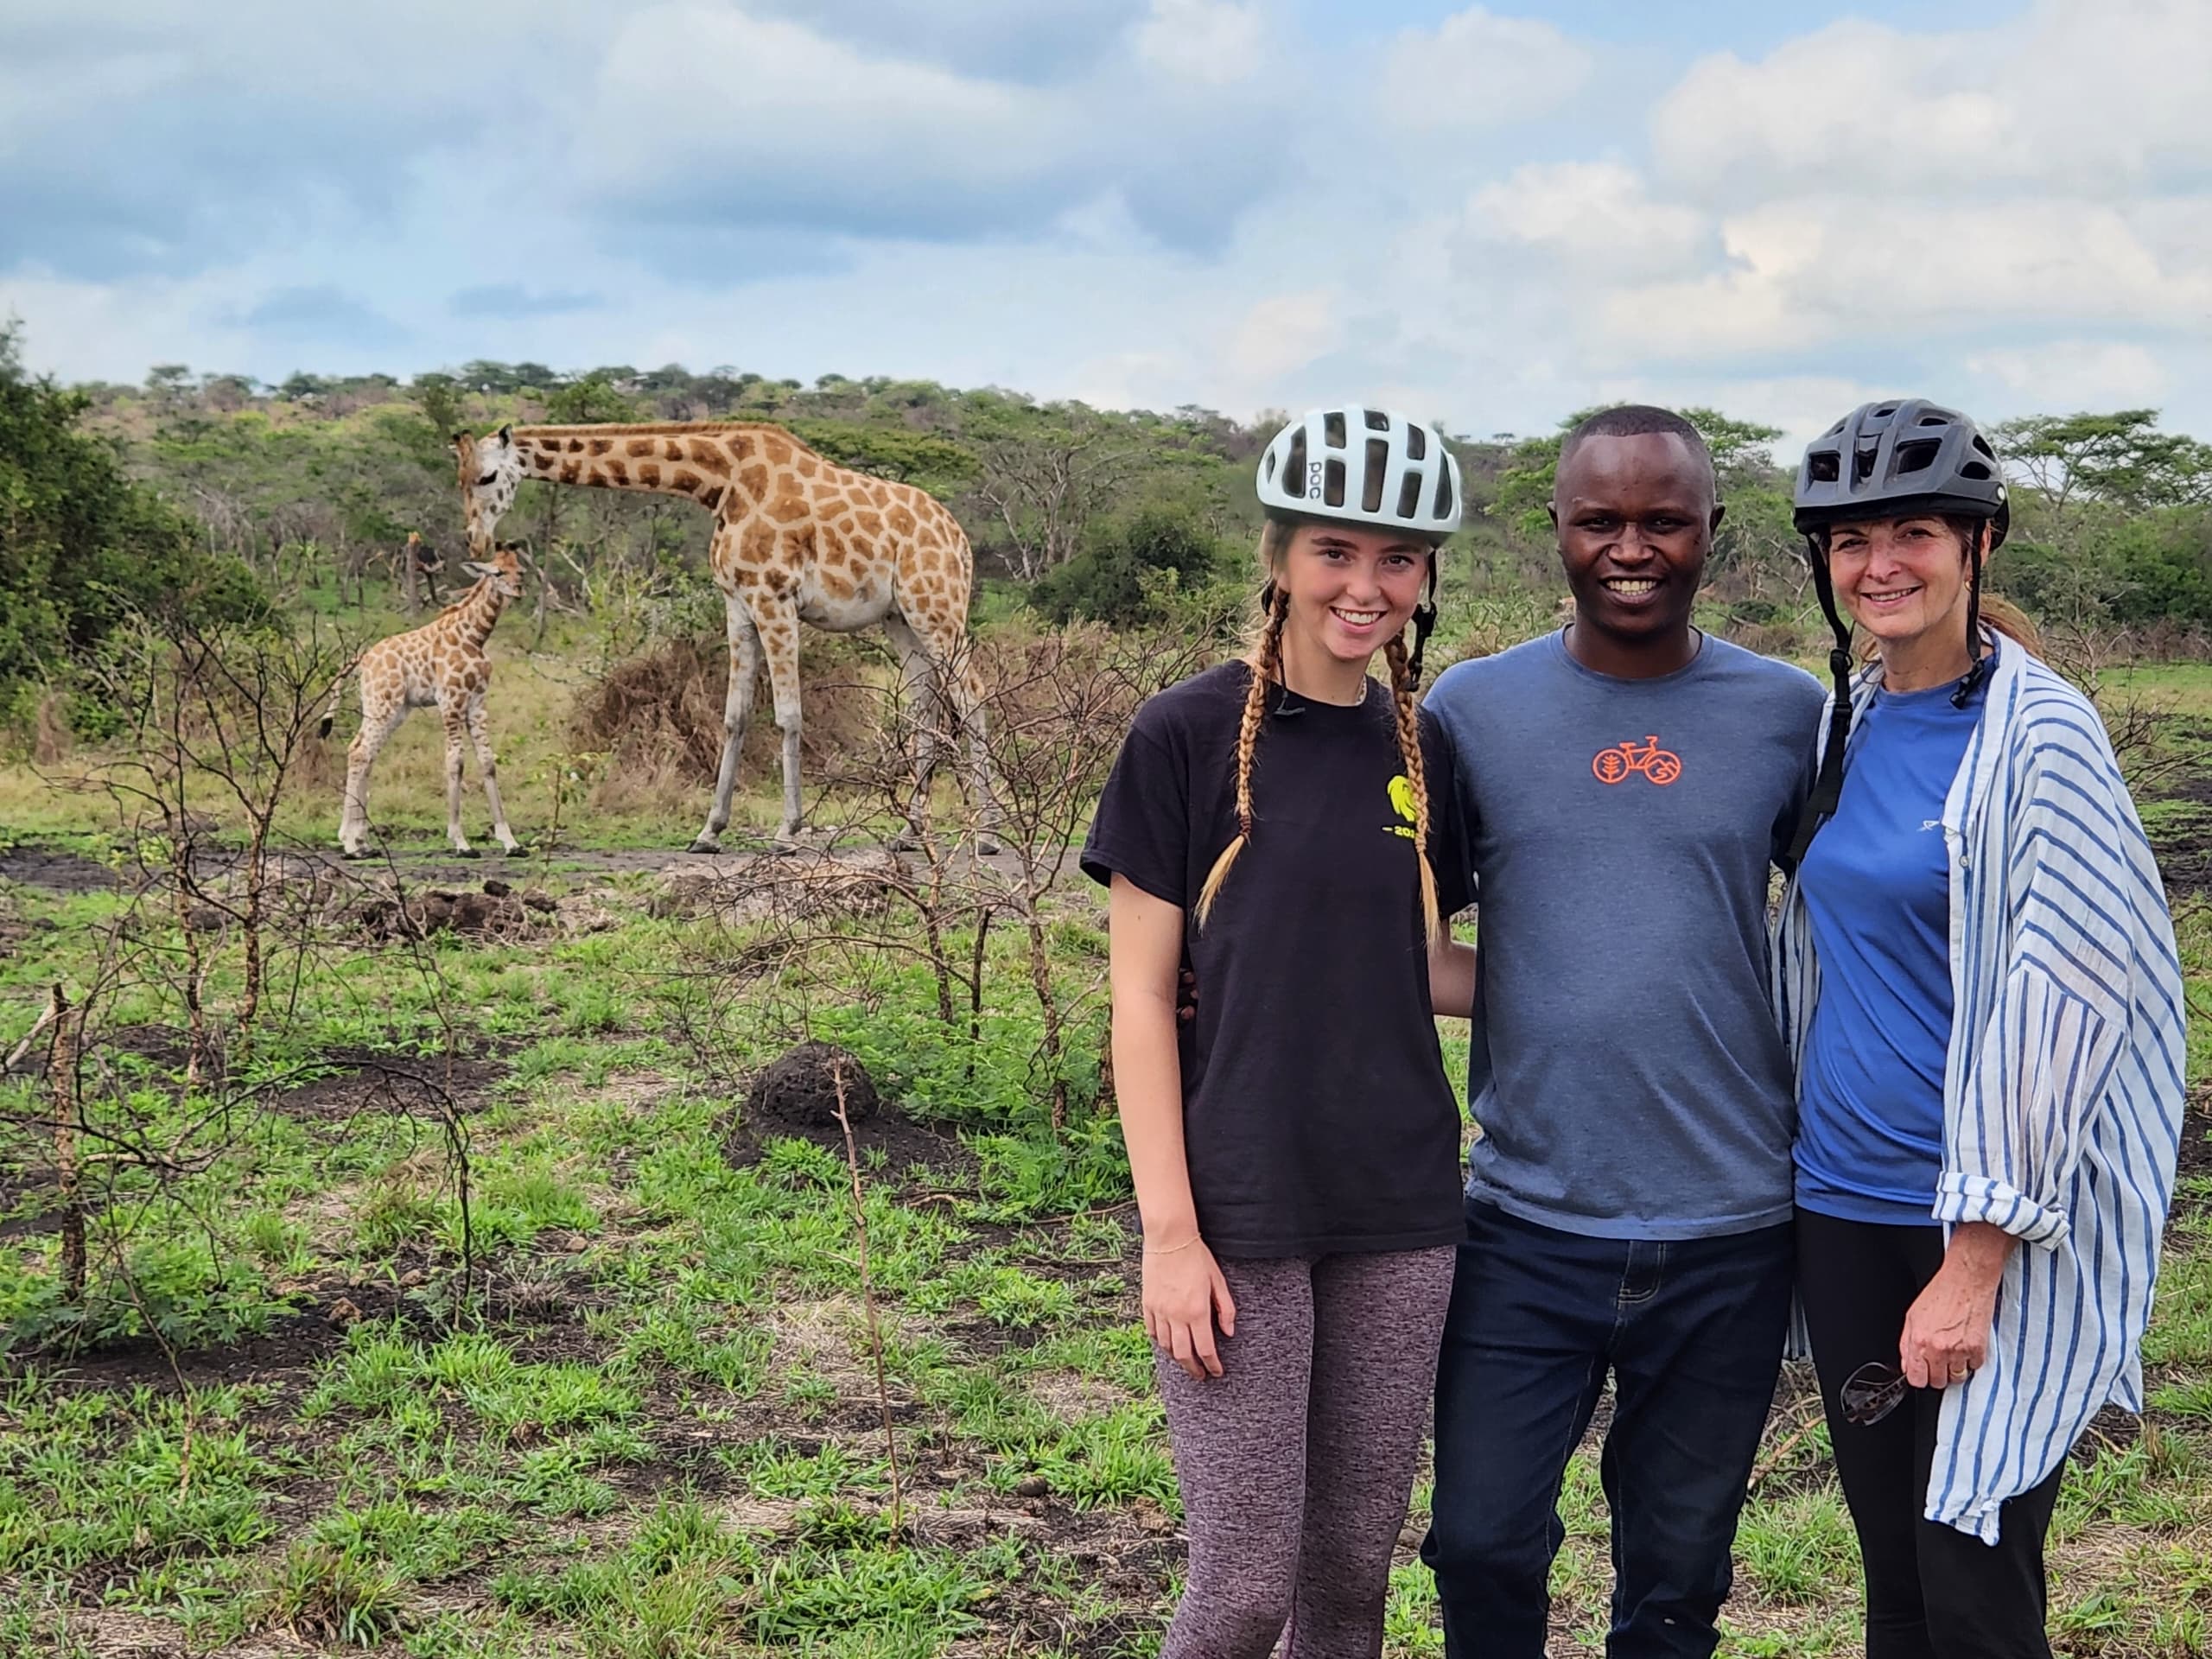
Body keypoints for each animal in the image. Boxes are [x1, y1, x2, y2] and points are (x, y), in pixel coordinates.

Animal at [318, 546, 524, 858]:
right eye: (498, 572)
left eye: (520, 570)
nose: (519, 589)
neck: (474, 636)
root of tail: (362, 660)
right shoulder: (451, 701)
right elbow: (455, 761)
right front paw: (461, 842)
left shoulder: (477, 704)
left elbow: (488, 762)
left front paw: (510, 842)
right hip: (384, 704)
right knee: (361, 752)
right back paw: (351, 844)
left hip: (392, 709)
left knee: (361, 750)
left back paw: (360, 841)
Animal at [457, 422, 995, 849]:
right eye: (459, 480)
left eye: (487, 477)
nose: (476, 542)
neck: (720, 483)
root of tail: (959, 539)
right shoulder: (738, 605)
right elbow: (735, 716)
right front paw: (709, 831)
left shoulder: (774, 598)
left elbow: (788, 715)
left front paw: (788, 831)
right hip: (899, 617)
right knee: (926, 700)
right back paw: (910, 831)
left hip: (937, 603)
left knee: (972, 693)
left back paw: (988, 832)